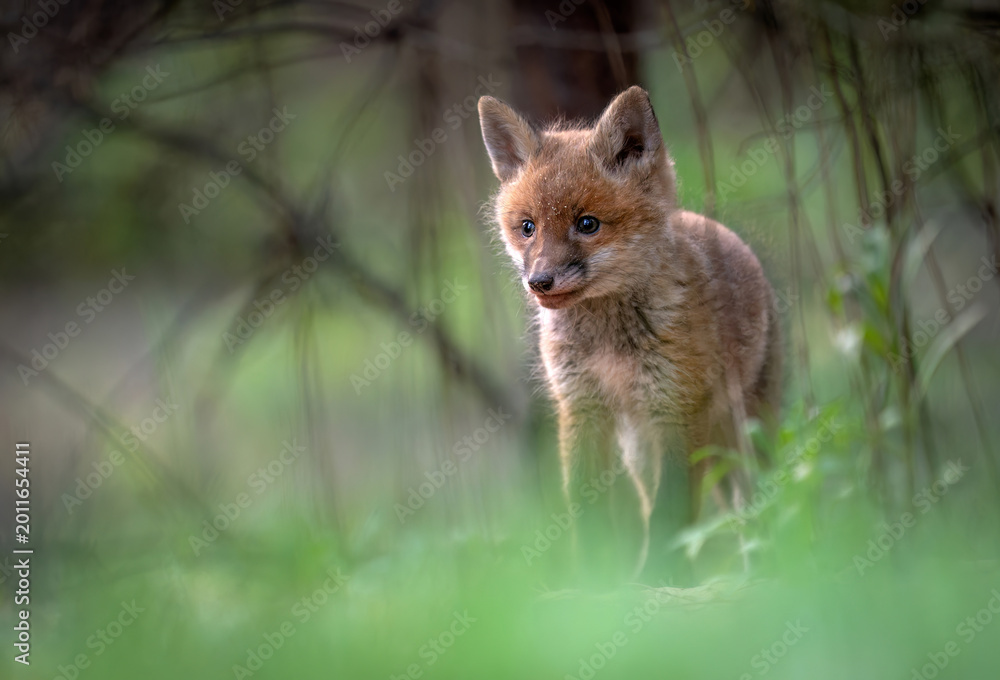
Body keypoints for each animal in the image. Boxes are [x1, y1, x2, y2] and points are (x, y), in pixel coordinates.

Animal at [478, 86, 782, 579]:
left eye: (587, 224)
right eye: (527, 227)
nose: (539, 282)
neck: (610, 343)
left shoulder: (678, 408)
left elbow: (671, 513)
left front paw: (658, 580)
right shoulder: (582, 408)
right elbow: (588, 513)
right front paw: (593, 582)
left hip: (743, 434)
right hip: (642, 449)